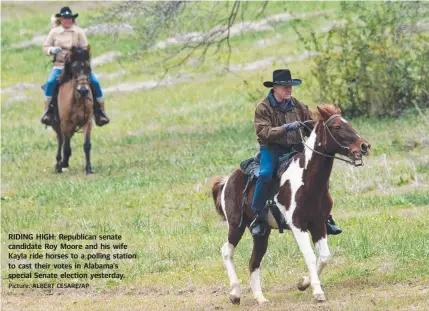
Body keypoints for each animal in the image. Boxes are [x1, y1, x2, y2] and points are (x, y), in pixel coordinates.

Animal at [50, 47, 94, 176]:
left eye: (88, 67)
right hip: (57, 125)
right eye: (74, 68)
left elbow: (87, 145)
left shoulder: (87, 122)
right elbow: (66, 147)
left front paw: (88, 169)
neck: (77, 100)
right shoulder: (65, 123)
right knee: (60, 140)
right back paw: (59, 164)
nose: (83, 90)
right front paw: (64, 165)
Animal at [212, 104, 370, 304]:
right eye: (336, 127)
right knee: (227, 251)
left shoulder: (319, 224)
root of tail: (227, 180)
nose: (364, 146)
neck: (308, 181)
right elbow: (310, 256)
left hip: (261, 233)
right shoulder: (298, 225)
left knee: (254, 262)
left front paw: (304, 283)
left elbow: (324, 256)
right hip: (236, 226)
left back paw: (260, 298)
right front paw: (317, 292)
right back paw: (235, 294)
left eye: (348, 123)